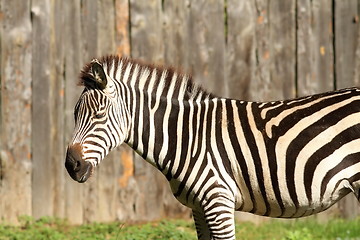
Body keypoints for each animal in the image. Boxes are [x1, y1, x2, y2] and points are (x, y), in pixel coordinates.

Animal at [65, 55, 360, 240]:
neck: (186, 136)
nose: (71, 165)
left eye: (99, 115)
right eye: (75, 115)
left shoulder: (219, 200)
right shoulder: (198, 207)